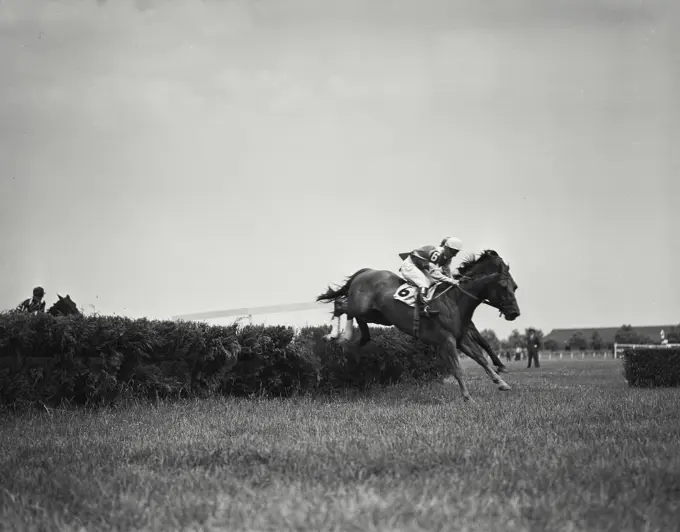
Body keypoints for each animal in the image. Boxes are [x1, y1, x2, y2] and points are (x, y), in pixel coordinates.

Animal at [318, 251, 520, 402]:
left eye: (515, 286)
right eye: (503, 286)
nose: (515, 313)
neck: (455, 300)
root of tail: (365, 271)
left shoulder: (461, 338)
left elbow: (481, 357)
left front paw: (502, 382)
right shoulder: (447, 340)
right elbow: (457, 368)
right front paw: (467, 397)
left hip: (378, 315)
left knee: (354, 316)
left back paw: (353, 339)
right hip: (361, 306)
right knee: (340, 304)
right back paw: (334, 336)